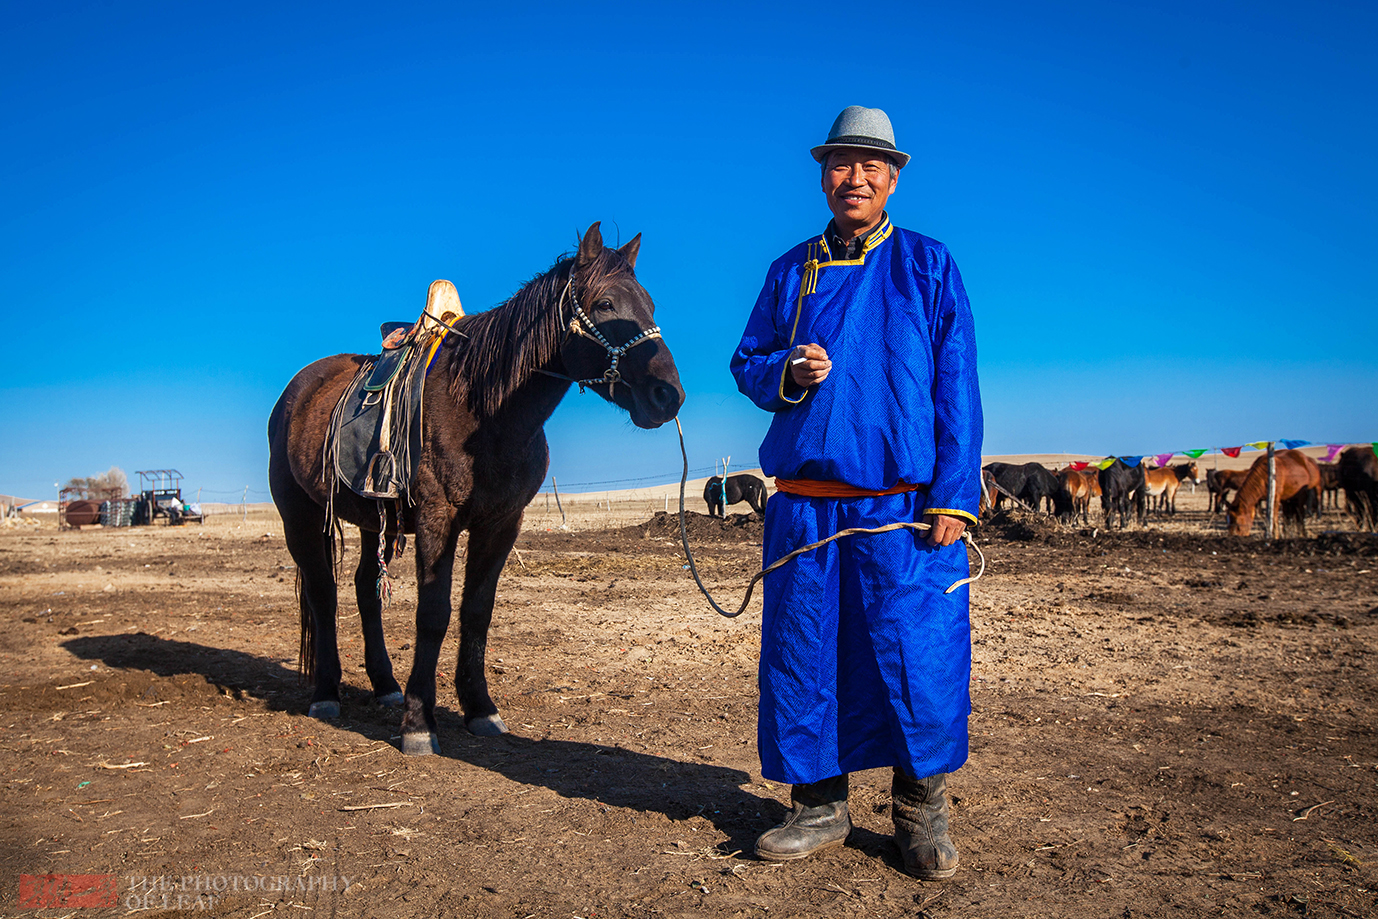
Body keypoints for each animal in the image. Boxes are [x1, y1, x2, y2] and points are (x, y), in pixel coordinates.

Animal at [267, 223, 683, 755]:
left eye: (648, 304)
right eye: (607, 304)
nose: (668, 395)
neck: (483, 410)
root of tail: (297, 390)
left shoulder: (501, 524)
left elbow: (476, 611)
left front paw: (480, 708)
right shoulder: (436, 519)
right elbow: (434, 613)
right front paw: (419, 724)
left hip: (372, 521)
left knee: (363, 589)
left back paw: (384, 685)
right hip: (298, 516)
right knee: (322, 593)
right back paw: (325, 693)